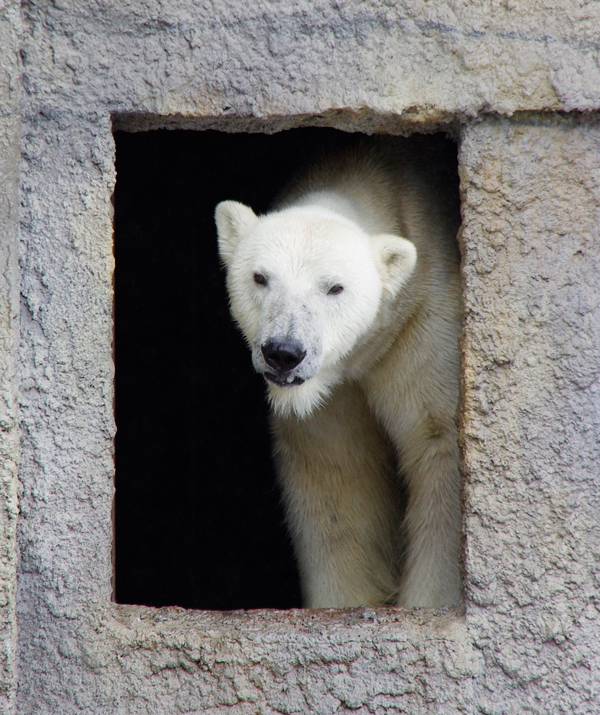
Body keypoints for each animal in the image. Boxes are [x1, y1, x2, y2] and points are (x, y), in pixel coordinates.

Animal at [217, 136, 464, 608]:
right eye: (260, 277)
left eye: (335, 287)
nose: (283, 352)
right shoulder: (328, 395)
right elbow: (335, 472)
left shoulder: (423, 322)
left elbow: (437, 444)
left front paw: (429, 603)